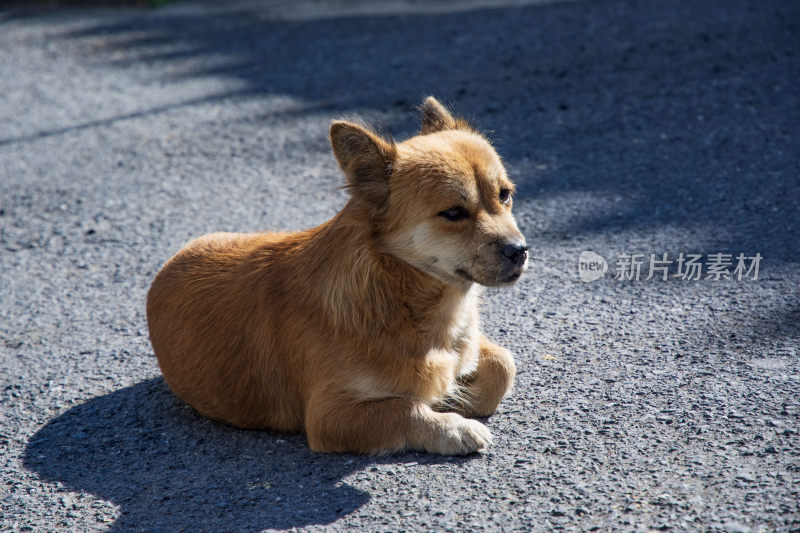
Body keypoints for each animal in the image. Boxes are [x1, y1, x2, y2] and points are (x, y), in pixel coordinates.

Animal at [147, 96, 528, 454]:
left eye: (505, 195)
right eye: (453, 213)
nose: (519, 250)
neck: (404, 299)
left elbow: (504, 365)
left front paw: (462, 394)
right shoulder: (330, 416)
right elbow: (404, 410)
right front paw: (453, 424)